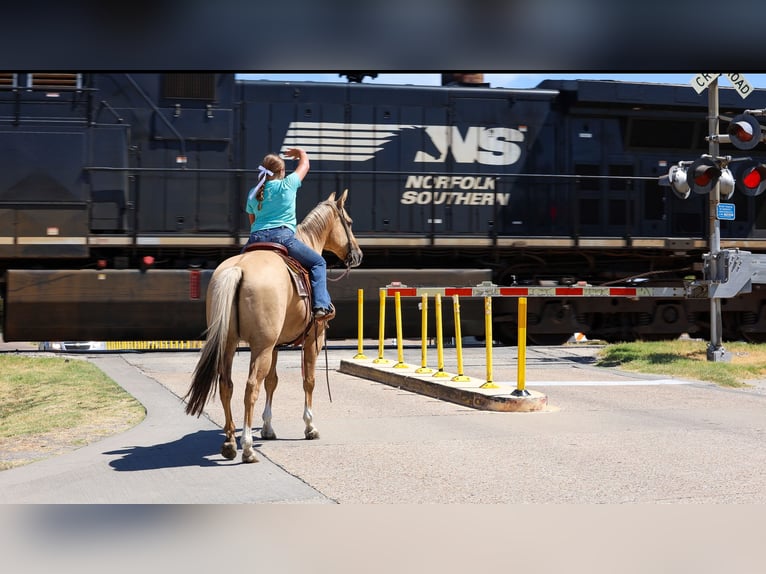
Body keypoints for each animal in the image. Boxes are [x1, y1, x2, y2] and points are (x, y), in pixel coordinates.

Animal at [184, 189, 363, 463]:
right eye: (350, 222)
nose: (358, 254)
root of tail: (238, 269)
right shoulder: (313, 340)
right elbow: (308, 380)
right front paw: (310, 426)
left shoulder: (277, 345)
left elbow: (272, 381)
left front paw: (267, 427)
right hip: (261, 347)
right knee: (250, 388)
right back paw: (247, 447)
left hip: (231, 343)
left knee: (227, 385)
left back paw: (229, 442)